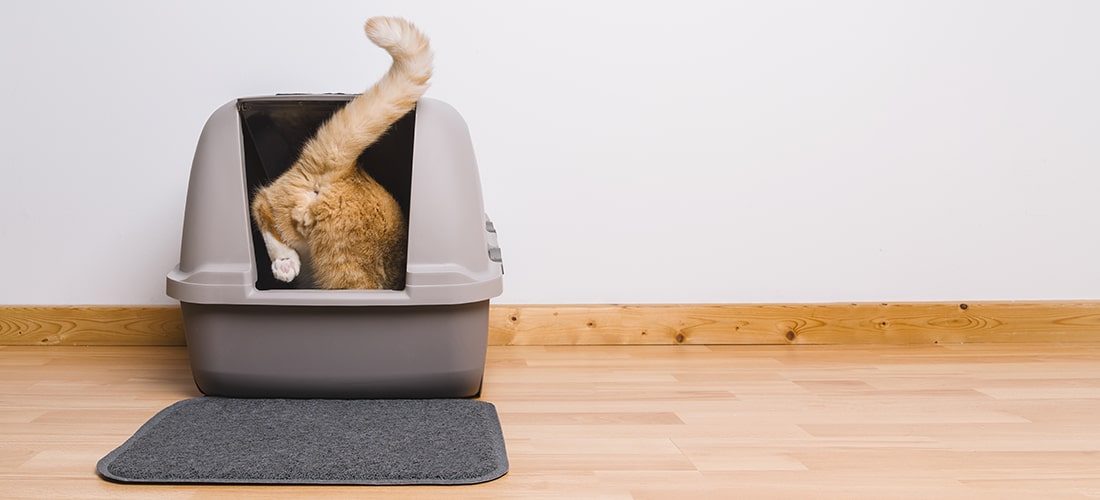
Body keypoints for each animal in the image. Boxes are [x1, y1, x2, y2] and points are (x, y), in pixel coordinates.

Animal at [251, 16, 431, 290]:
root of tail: (347, 168)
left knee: (264, 203)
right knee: (260, 202)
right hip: (343, 271)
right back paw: (285, 263)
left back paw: (286, 262)